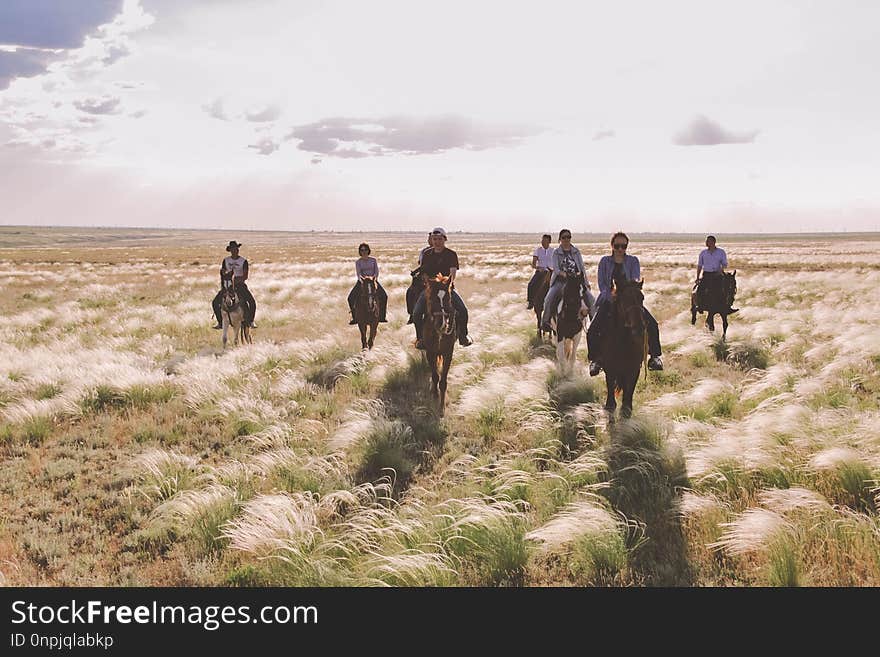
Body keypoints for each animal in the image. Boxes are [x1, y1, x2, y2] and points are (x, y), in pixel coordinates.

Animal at [422, 272, 458, 410]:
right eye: (432, 299)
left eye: (448, 299)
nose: (441, 323)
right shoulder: (430, 352)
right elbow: (435, 376)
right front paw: (435, 396)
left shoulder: (448, 353)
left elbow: (443, 381)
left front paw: (442, 407)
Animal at [600, 280, 648, 418]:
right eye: (625, 299)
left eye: (642, 298)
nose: (639, 328)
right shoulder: (610, 369)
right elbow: (611, 404)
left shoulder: (634, 370)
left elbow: (626, 405)